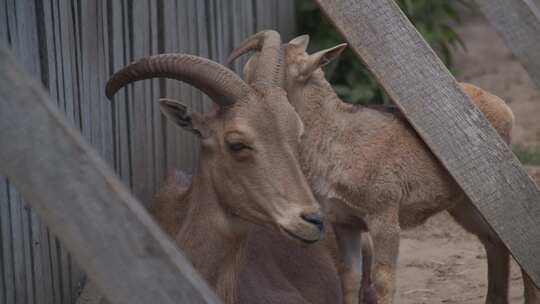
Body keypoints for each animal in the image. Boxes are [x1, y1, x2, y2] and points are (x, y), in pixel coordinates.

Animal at [228, 30, 540, 304]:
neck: (337, 141)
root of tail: (504, 108)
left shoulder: (384, 213)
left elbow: (383, 280)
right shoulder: (345, 221)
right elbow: (350, 277)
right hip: (465, 203)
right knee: (496, 241)